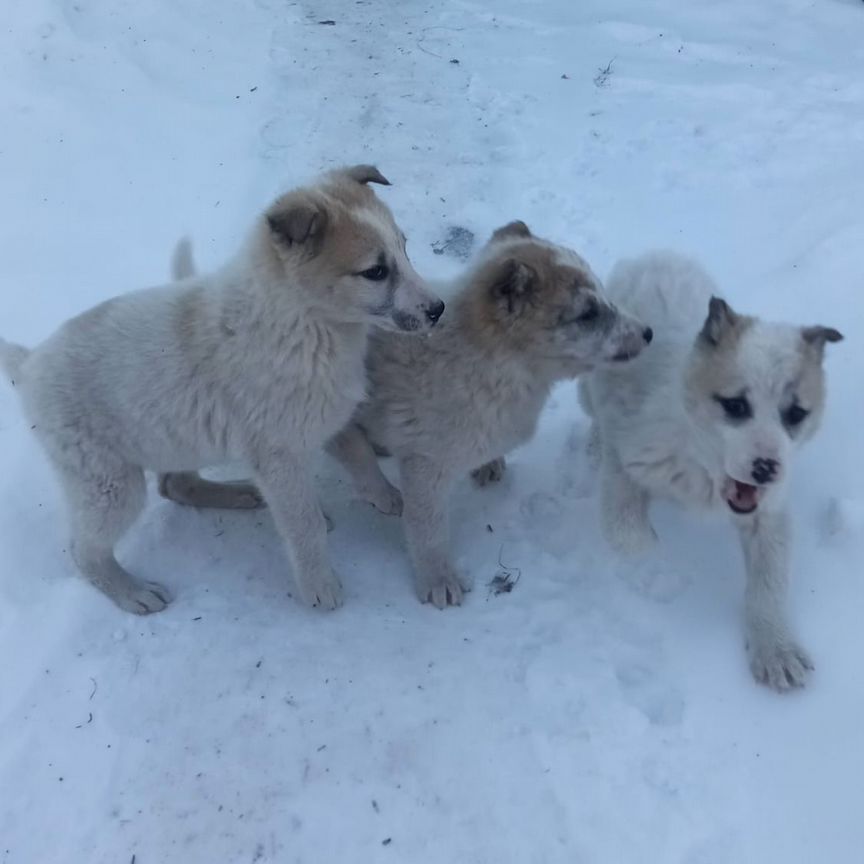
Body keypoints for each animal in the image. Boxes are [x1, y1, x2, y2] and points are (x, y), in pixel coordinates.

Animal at [0, 165, 442, 616]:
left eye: (405, 249)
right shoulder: (279, 452)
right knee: (85, 550)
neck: (305, 320)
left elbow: (358, 450)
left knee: (175, 486)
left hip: (172, 438)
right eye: (375, 272)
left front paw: (384, 494)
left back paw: (244, 493)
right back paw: (133, 591)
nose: (437, 310)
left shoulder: (323, 411)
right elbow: (304, 525)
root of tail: (29, 364)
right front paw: (320, 586)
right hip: (108, 484)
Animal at [580, 250, 844, 688]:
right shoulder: (629, 453)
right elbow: (628, 534)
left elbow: (768, 585)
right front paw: (652, 552)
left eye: (795, 414)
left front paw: (775, 648)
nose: (767, 468)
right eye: (735, 405)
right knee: (594, 412)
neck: (698, 461)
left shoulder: (767, 515)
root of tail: (656, 254)